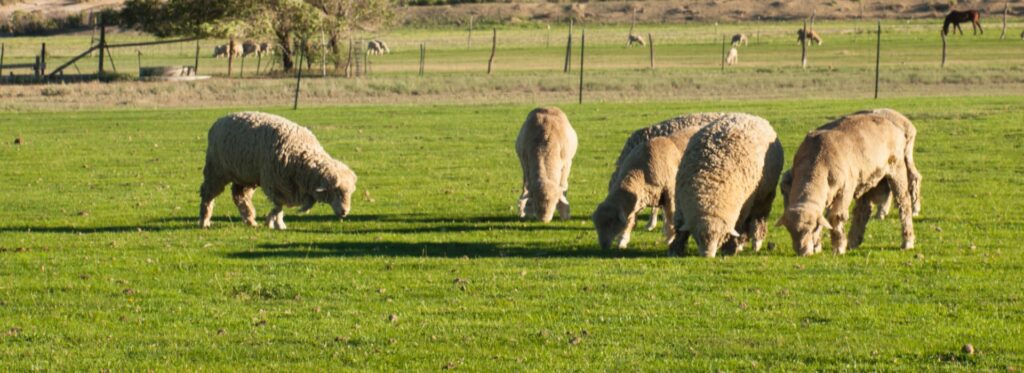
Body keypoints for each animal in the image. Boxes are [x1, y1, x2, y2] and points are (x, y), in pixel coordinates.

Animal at [197, 110, 358, 228]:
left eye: (350, 193)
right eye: (336, 191)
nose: (345, 212)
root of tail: (221, 119)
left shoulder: (287, 186)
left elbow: (280, 206)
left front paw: (272, 221)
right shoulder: (276, 184)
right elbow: (279, 206)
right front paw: (276, 223)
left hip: (244, 175)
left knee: (240, 196)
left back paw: (250, 220)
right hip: (216, 170)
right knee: (208, 194)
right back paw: (204, 221)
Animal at [667, 112, 786, 256]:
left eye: (720, 236)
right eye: (698, 236)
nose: (707, 256)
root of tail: (753, 116)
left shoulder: (742, 207)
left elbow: (737, 227)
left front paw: (730, 248)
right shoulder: (680, 203)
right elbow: (679, 227)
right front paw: (675, 248)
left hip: (764, 197)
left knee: (757, 219)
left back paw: (755, 243)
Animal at [774, 110, 921, 256]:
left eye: (812, 229)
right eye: (790, 230)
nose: (802, 253)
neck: (816, 161)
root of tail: (894, 124)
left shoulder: (845, 189)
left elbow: (835, 217)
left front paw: (838, 247)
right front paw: (818, 246)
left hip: (897, 167)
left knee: (904, 201)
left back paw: (907, 240)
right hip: (866, 177)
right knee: (863, 209)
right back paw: (854, 240)